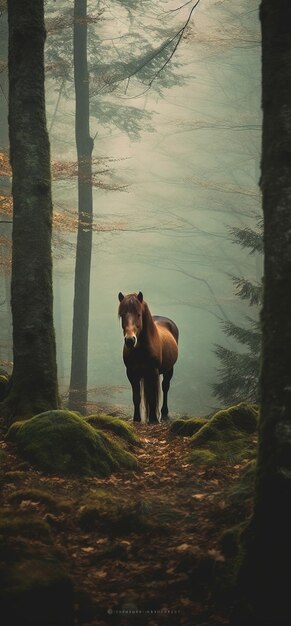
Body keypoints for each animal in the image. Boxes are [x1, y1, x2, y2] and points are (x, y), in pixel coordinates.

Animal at [117, 292, 179, 424]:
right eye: (122, 315)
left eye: (139, 314)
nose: (130, 340)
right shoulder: (131, 373)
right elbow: (136, 397)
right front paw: (136, 418)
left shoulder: (153, 372)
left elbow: (152, 397)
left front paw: (153, 419)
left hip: (169, 369)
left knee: (165, 387)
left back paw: (164, 414)